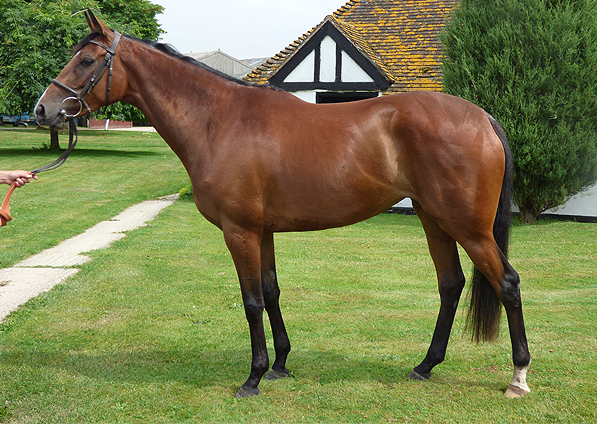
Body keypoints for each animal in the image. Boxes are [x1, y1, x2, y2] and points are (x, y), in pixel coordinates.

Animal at [35, 12, 528, 398]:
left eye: (86, 60)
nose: (43, 110)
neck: (219, 121)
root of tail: (482, 116)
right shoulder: (264, 231)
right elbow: (271, 292)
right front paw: (280, 364)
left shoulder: (240, 231)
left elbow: (251, 299)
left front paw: (252, 378)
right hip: (434, 219)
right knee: (451, 284)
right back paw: (424, 366)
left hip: (468, 227)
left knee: (506, 283)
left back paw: (518, 377)